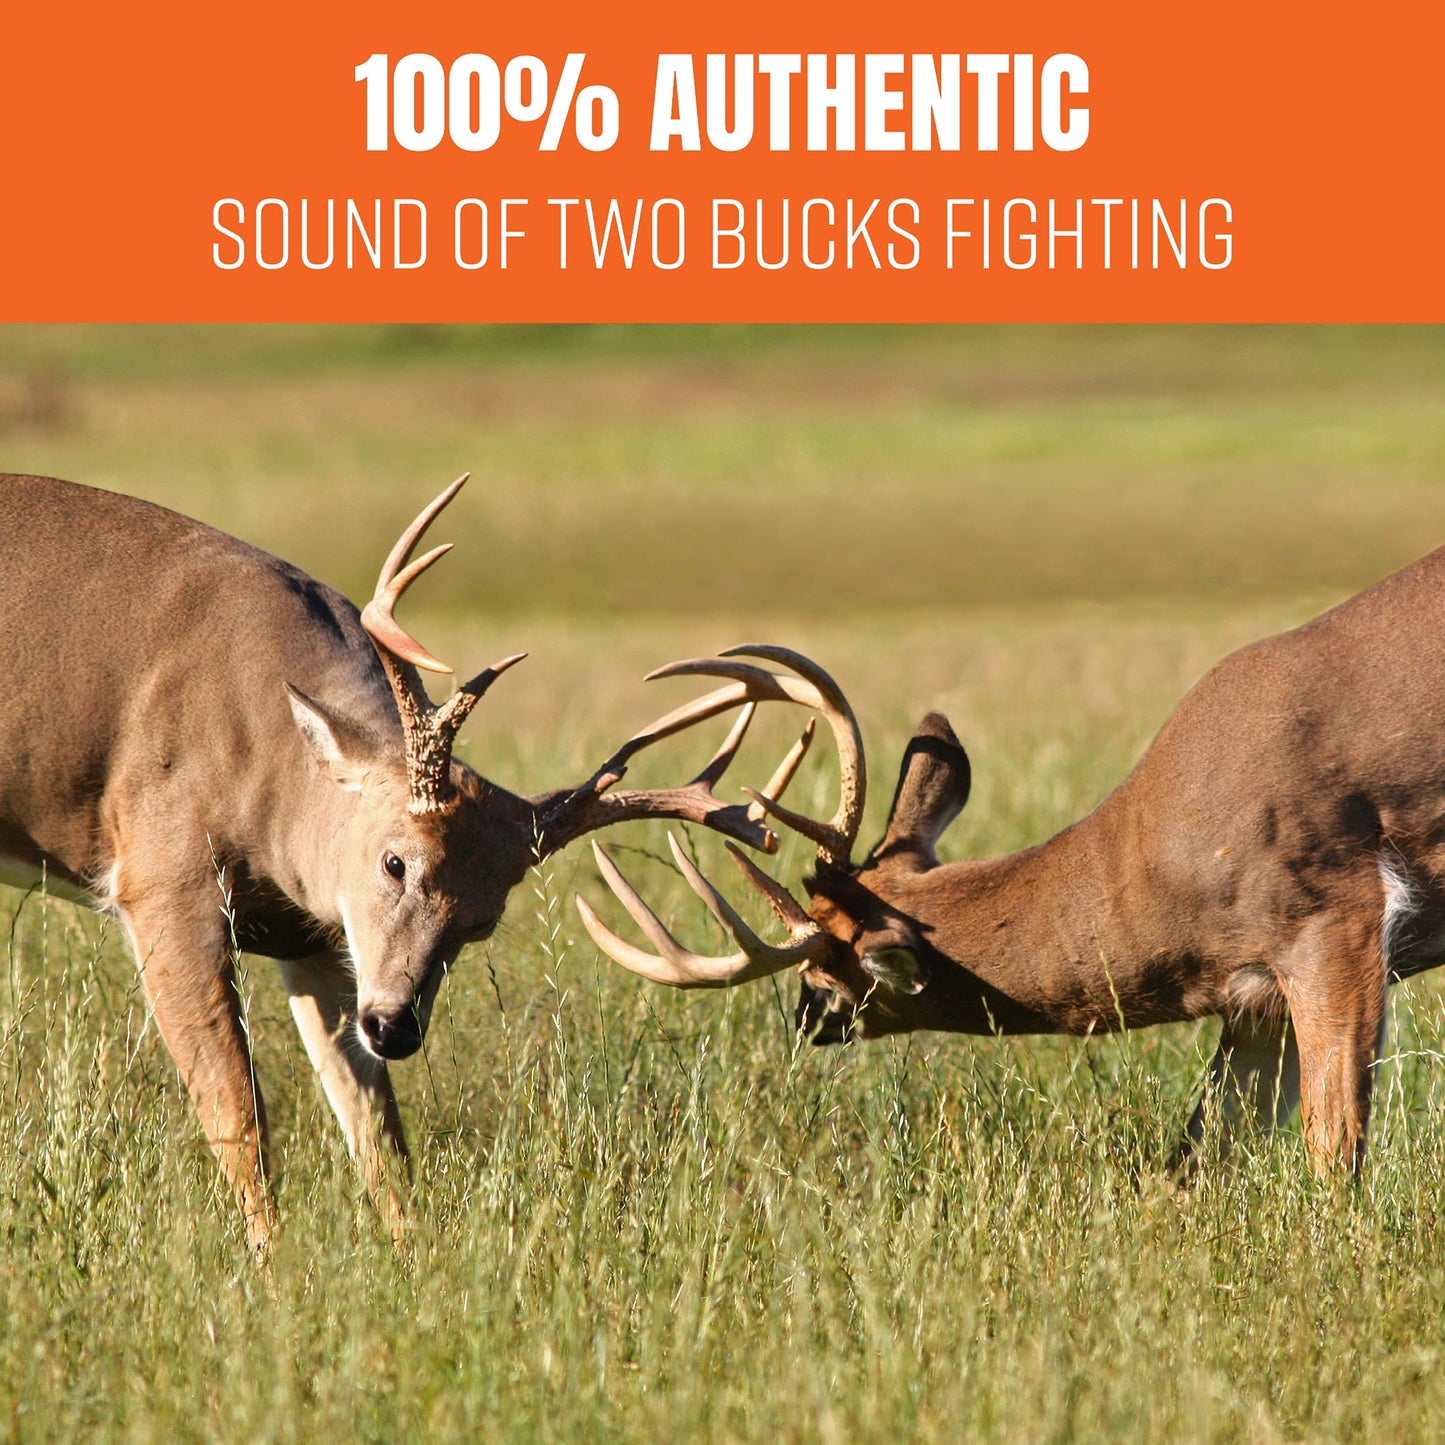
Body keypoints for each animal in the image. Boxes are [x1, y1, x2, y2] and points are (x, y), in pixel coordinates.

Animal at [0, 474, 806, 1256]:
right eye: (395, 862)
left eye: (484, 920)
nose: (397, 1025)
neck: (266, 762)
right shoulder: (163, 873)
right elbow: (236, 1109)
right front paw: (273, 1269)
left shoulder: (315, 939)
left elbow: (376, 1127)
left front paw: (412, 1257)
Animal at [578, 549, 1445, 1182]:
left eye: (825, 969)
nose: (802, 1020)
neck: (1155, 871)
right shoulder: (1254, 993)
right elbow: (1197, 1153)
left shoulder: (1331, 916)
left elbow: (1334, 1150)